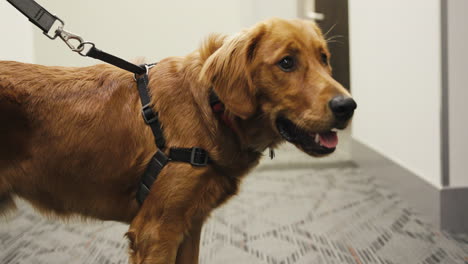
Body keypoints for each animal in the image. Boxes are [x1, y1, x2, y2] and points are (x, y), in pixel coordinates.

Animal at [0, 17, 354, 262]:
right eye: (286, 62)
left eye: (324, 58)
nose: (347, 106)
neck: (209, 106)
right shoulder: (156, 231)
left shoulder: (188, 226)